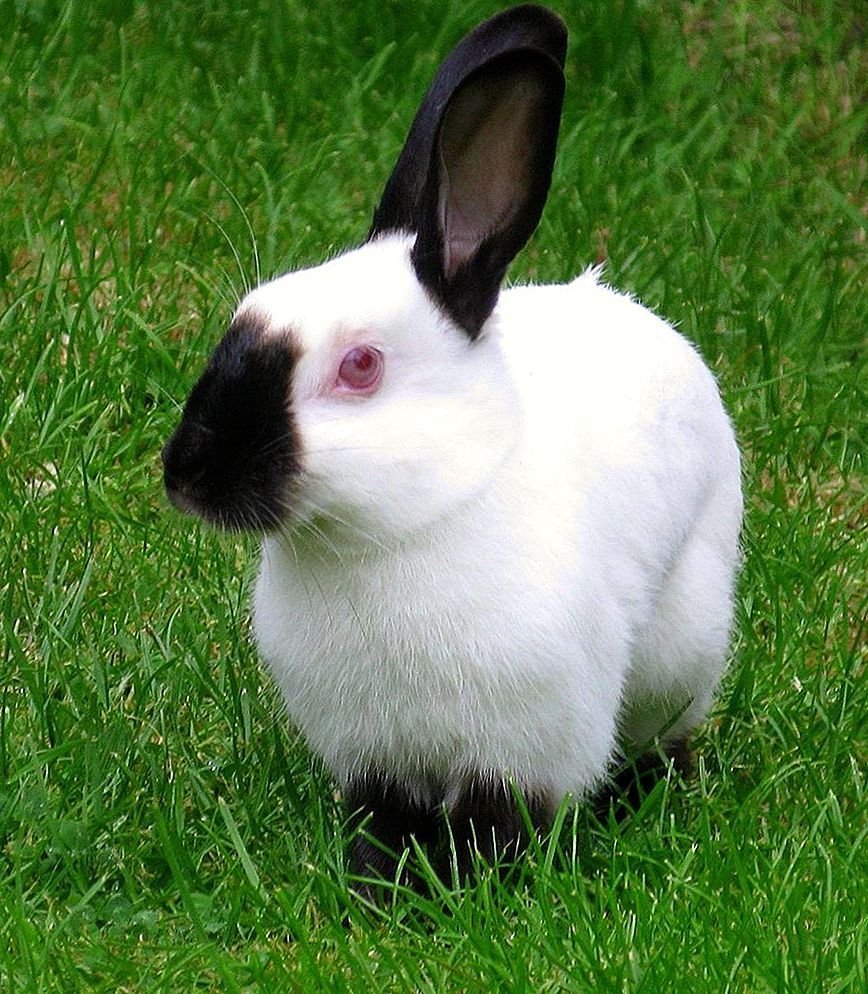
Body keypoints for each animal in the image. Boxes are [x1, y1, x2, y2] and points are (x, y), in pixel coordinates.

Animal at [162, 4, 743, 885]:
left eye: (360, 367)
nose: (185, 474)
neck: (395, 533)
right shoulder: (374, 753)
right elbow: (387, 820)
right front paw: (378, 880)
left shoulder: (524, 749)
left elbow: (497, 825)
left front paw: (469, 885)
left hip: (685, 647)